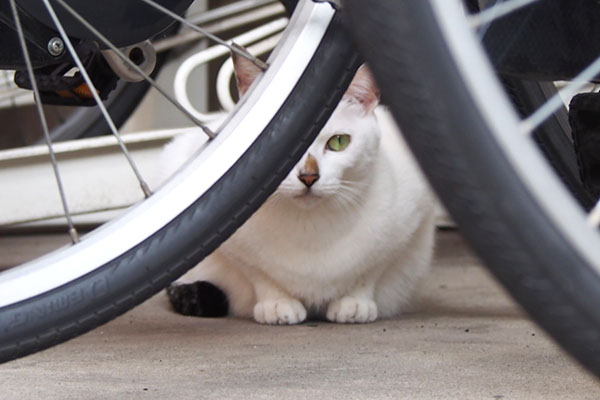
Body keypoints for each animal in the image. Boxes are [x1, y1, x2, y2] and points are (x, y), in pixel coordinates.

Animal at [162, 53, 438, 324]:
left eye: (339, 142)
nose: (309, 176)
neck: (310, 227)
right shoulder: (233, 247)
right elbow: (259, 274)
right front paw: (277, 303)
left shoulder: (406, 223)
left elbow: (370, 270)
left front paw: (354, 302)